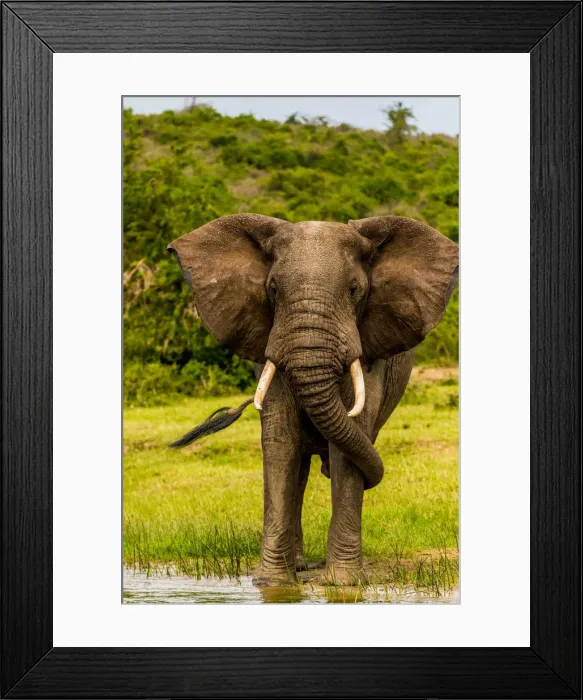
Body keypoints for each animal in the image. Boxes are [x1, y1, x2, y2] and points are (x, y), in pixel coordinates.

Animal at [167, 214, 458, 585]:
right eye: (273, 289)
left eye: (354, 290)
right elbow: (281, 441)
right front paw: (272, 584)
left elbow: (349, 441)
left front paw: (343, 583)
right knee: (300, 469)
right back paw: (299, 566)